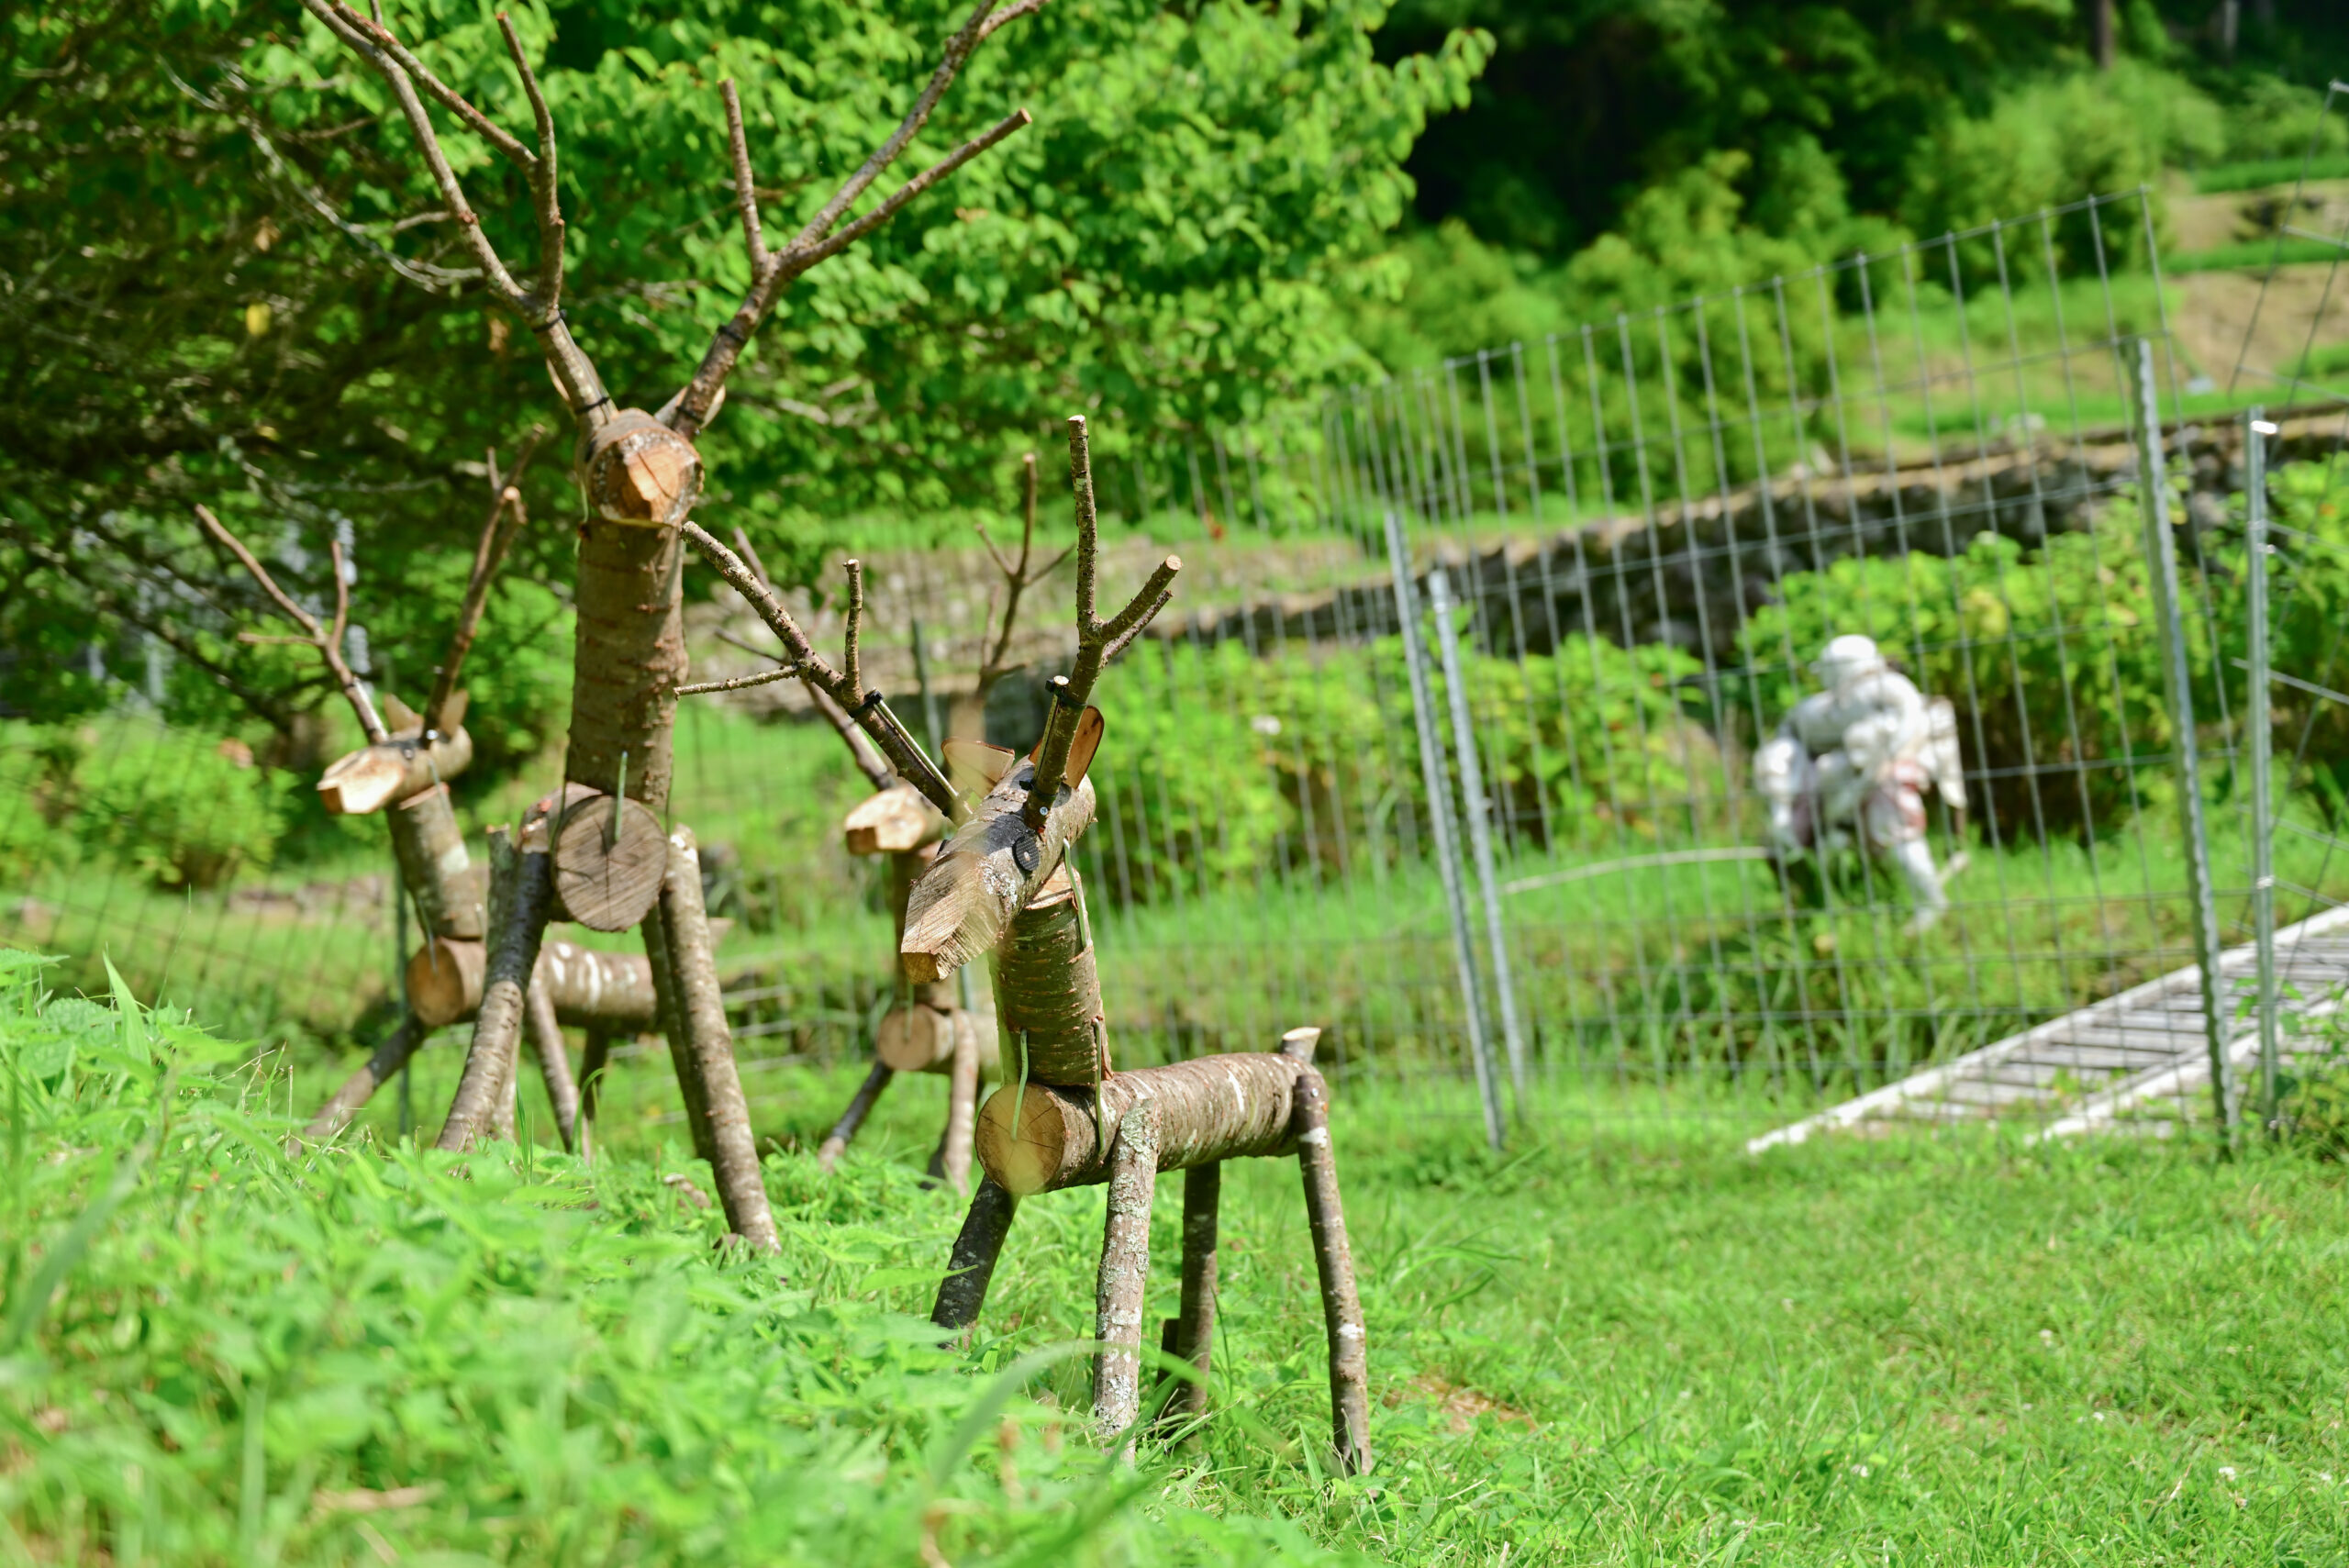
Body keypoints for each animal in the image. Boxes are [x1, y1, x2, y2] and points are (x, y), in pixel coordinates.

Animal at [300, 0, 1050, 1252]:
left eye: (681, 461)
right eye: (595, 452)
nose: (333, 788)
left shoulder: (680, 878)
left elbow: (755, 1085)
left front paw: (766, 1233)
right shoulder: (523, 876)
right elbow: (482, 1055)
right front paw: (425, 1167)